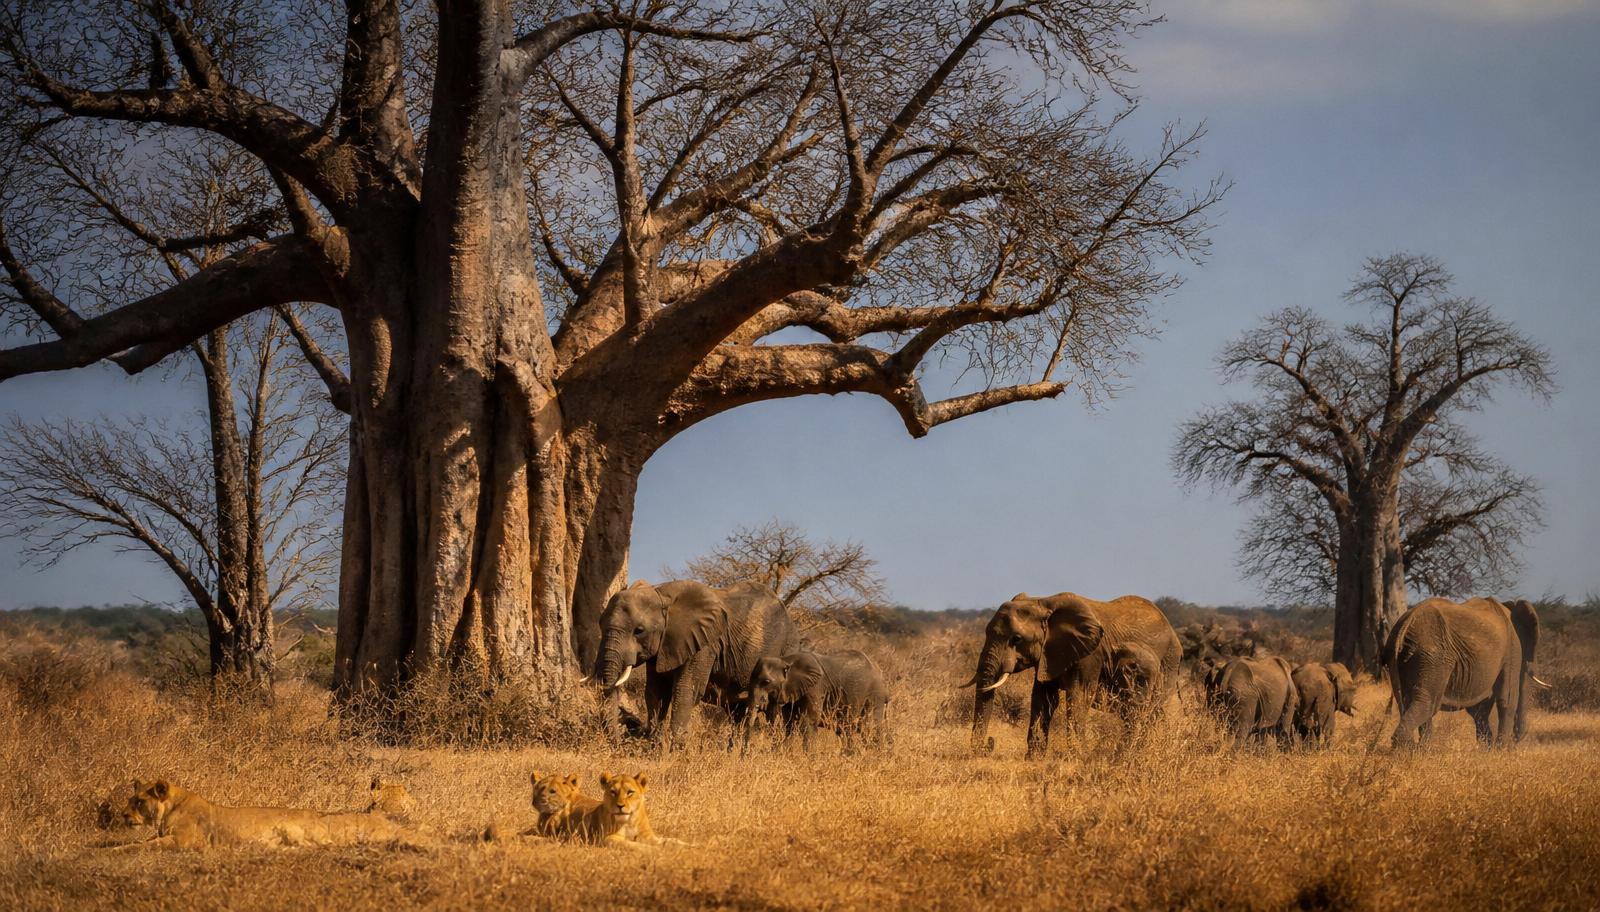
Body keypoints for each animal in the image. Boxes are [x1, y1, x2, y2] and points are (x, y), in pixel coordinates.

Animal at [593, 579, 795, 748]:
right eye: (600, 624)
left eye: (639, 630)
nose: (619, 740)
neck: (660, 593)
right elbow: (656, 692)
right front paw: (652, 742)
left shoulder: (704, 643)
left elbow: (686, 689)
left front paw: (675, 748)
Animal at [744, 649, 890, 752]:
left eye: (766, 682)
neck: (785, 660)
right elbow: (790, 723)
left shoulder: (815, 687)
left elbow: (809, 721)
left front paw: (809, 760)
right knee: (848, 730)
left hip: (875, 693)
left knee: (870, 726)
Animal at [963, 592, 1182, 756]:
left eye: (1016, 639)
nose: (989, 743)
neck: (1043, 602)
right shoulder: (1049, 654)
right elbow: (1043, 698)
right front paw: (1034, 758)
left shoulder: (1090, 655)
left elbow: (1078, 696)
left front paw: (1077, 756)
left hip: (1167, 662)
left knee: (1149, 710)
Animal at [1386, 596, 1548, 749]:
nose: (1517, 738)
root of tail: (1406, 622)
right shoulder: (1512, 650)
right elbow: (1507, 700)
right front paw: (1499, 751)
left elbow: (1479, 710)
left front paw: (1486, 749)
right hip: (1433, 657)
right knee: (1427, 703)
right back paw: (1414, 748)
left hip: (1401, 656)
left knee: (1410, 701)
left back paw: (1421, 748)